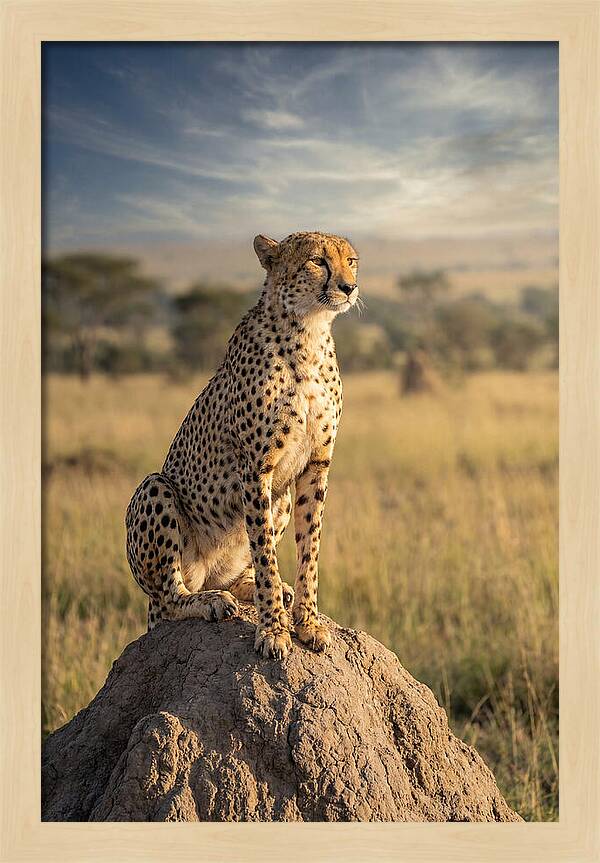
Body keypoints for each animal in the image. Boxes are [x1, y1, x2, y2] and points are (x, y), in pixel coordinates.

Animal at [125, 230, 360, 660]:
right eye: (318, 261)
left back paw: (256, 589)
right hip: (155, 490)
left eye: (350, 260)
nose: (349, 287)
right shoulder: (256, 469)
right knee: (169, 597)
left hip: (281, 498)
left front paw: (307, 622)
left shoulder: (316, 465)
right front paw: (273, 631)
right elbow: (265, 552)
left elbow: (310, 549)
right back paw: (210, 601)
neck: (309, 331)